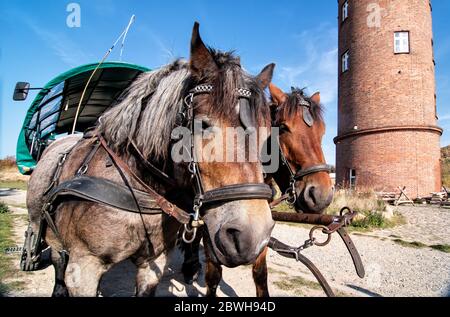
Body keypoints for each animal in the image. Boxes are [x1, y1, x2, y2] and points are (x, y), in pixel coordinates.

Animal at [182, 82, 334, 296]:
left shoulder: (261, 229)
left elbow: (260, 273)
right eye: (284, 128)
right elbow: (213, 275)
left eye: (322, 132)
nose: (321, 195)